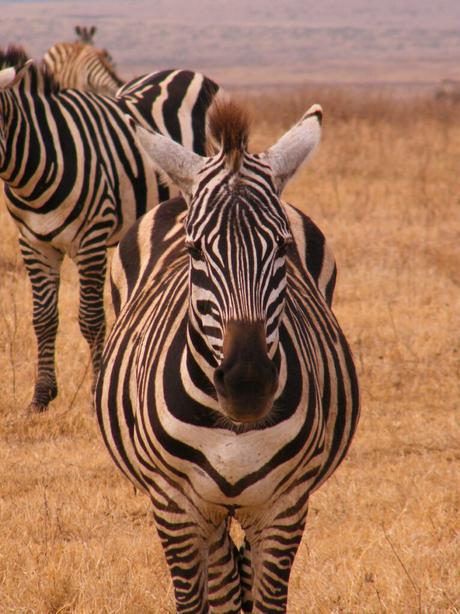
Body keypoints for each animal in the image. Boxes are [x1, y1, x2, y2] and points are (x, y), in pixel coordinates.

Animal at [0, 48, 221, 414]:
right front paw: (41, 396)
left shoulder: (91, 237)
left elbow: (90, 319)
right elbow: (43, 318)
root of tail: (186, 72)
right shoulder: (33, 243)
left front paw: (95, 396)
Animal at [95, 98, 362, 612]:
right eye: (195, 250)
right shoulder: (175, 506)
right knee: (222, 580)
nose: (247, 386)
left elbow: (266, 600)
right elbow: (196, 599)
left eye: (282, 246)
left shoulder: (284, 508)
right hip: (207, 512)